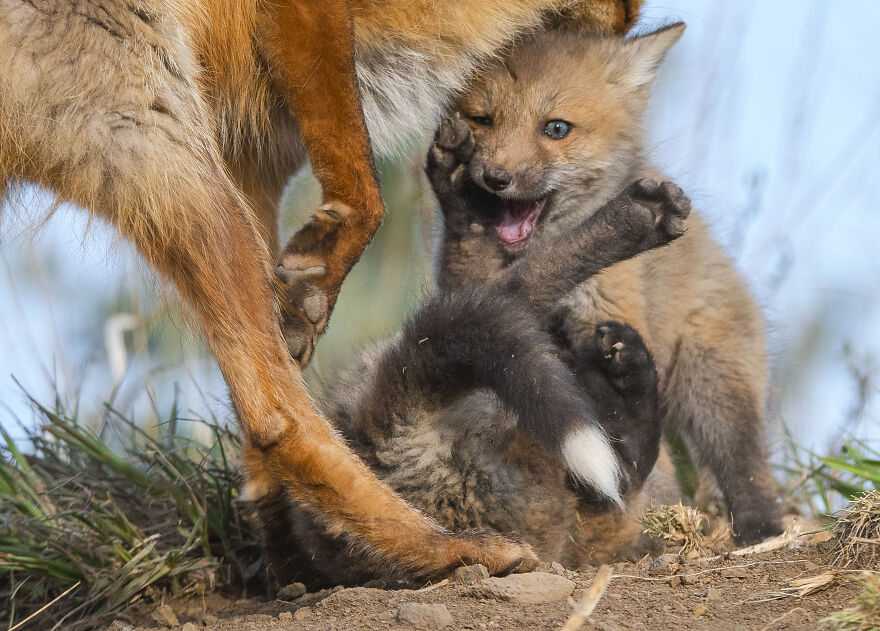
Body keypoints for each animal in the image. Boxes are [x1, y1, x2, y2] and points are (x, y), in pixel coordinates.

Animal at [0, 0, 641, 582]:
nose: (630, 25)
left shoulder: (251, 152)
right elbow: (366, 191)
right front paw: (317, 277)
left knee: (262, 415)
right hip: (178, 165)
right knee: (277, 419)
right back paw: (449, 550)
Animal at [428, 23, 783, 544]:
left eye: (556, 128)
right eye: (482, 120)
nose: (496, 178)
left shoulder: (606, 311)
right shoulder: (477, 303)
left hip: (713, 385)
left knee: (744, 464)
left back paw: (757, 526)